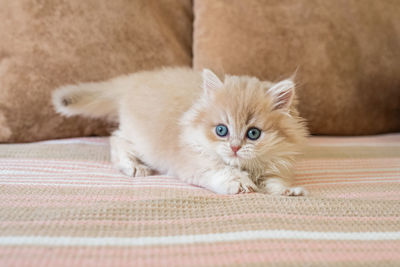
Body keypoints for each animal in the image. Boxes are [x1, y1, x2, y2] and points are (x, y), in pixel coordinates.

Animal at [52, 67, 310, 196]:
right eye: (221, 130)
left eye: (253, 134)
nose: (235, 147)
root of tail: (133, 80)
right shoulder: (193, 161)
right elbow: (221, 170)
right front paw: (239, 182)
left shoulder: (275, 165)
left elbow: (276, 182)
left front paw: (288, 191)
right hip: (141, 140)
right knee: (117, 139)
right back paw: (134, 167)